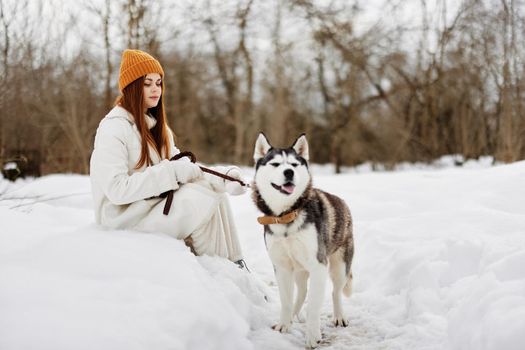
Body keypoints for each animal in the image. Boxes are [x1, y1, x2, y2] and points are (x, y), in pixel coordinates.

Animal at [252, 133, 354, 348]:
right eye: (275, 164)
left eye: (294, 164)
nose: (289, 172)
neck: (286, 216)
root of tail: (343, 203)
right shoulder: (281, 266)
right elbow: (286, 300)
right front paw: (284, 324)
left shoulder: (318, 265)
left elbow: (314, 306)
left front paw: (313, 335)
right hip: (299, 270)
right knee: (301, 292)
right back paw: (293, 315)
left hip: (339, 266)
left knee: (336, 292)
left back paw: (339, 316)